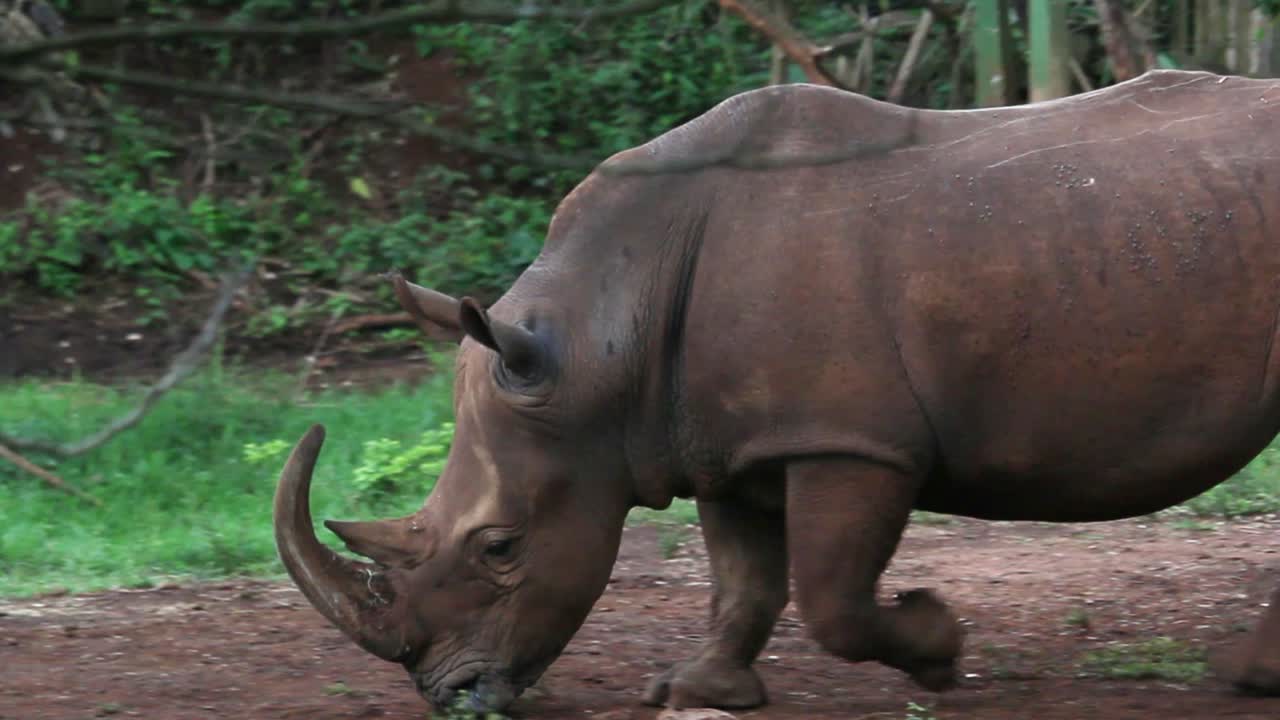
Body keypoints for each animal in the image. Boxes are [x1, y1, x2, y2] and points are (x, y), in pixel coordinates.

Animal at [273, 68, 1280, 714]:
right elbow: (743, 579)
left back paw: (1248, 676)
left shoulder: (847, 437)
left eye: (501, 547)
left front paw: (939, 647)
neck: (602, 343)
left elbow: (831, 596)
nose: (451, 696)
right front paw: (701, 692)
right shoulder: (717, 437)